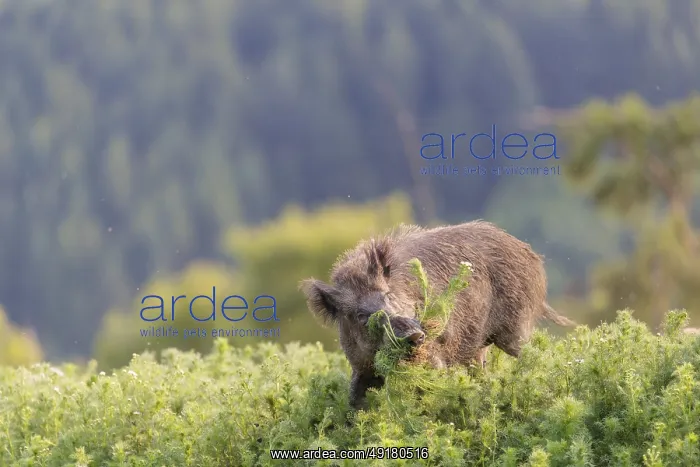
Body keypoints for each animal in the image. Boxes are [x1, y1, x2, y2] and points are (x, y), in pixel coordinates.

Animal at [300, 220, 575, 410]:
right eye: (360, 315)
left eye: (388, 296)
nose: (413, 333)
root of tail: (532, 256)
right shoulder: (361, 368)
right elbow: (355, 403)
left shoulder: (435, 359)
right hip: (478, 346)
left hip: (516, 327)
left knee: (537, 352)